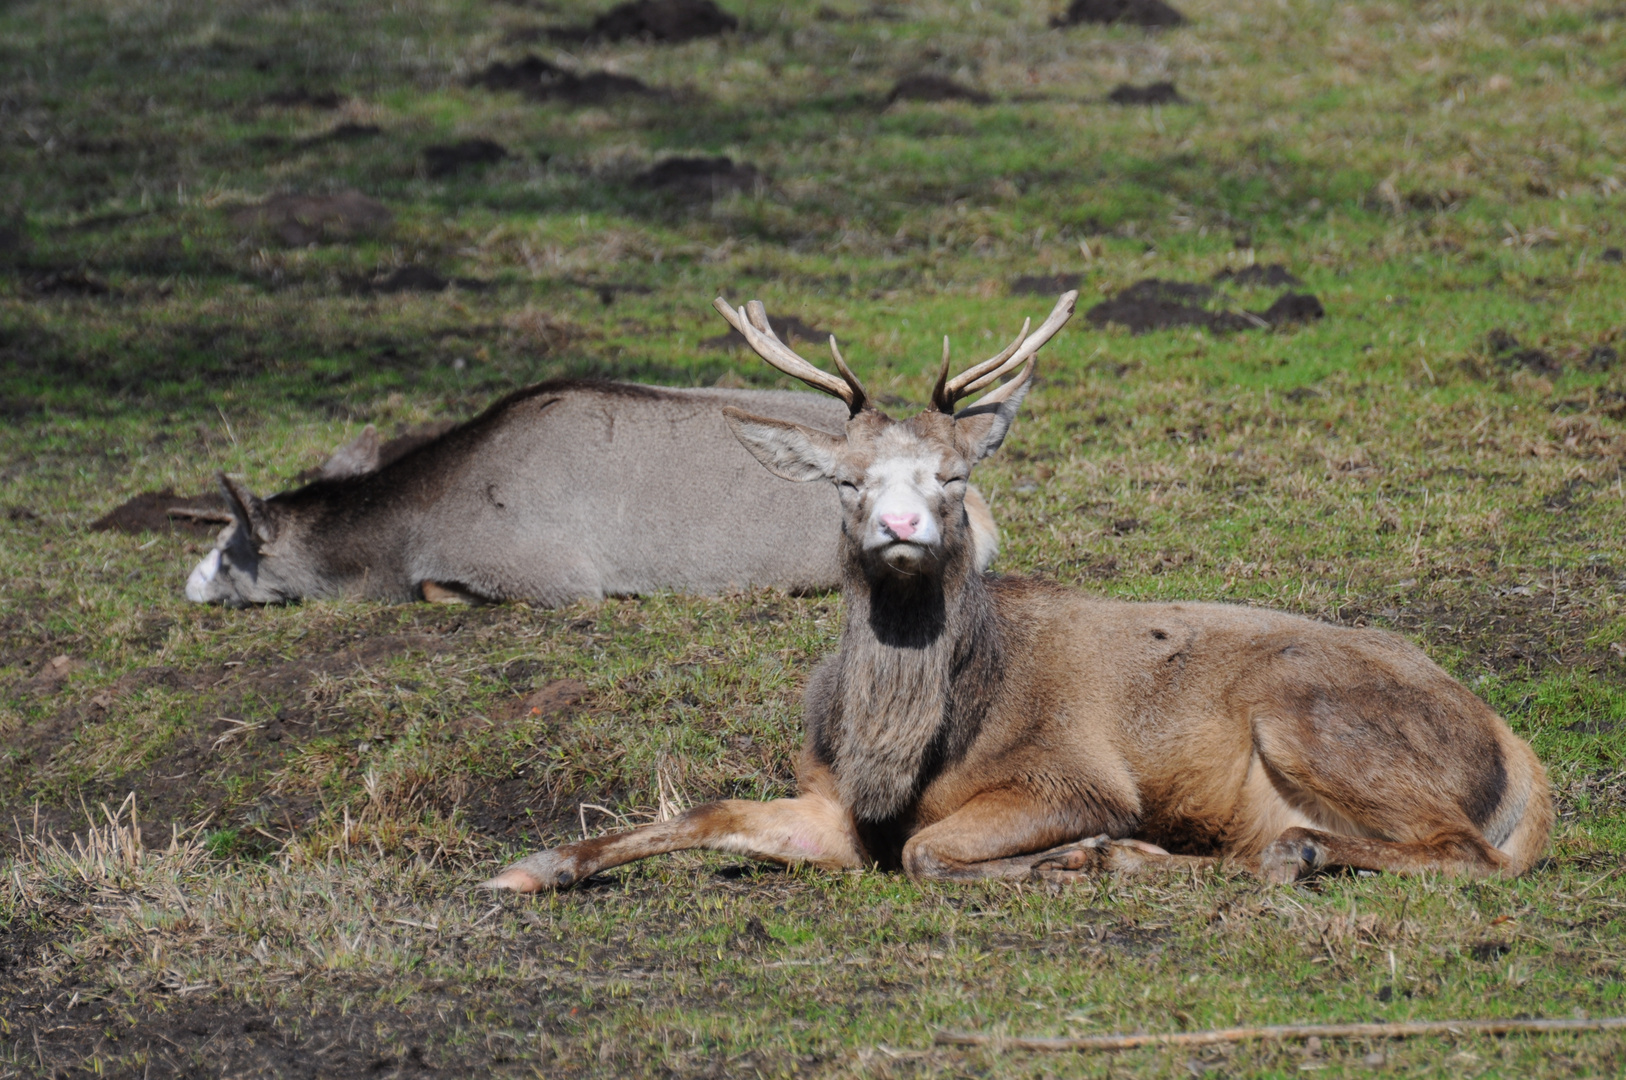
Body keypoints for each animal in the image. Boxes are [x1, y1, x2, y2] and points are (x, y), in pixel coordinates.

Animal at [478, 291, 1547, 891]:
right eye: (846, 480)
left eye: (952, 476)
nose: (900, 526)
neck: (899, 754)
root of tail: (1517, 748)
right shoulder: (830, 804)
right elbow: (706, 816)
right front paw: (534, 867)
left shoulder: (1071, 775)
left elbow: (929, 853)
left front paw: (1072, 857)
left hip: (1309, 719)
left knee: (1465, 850)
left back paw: (1280, 856)